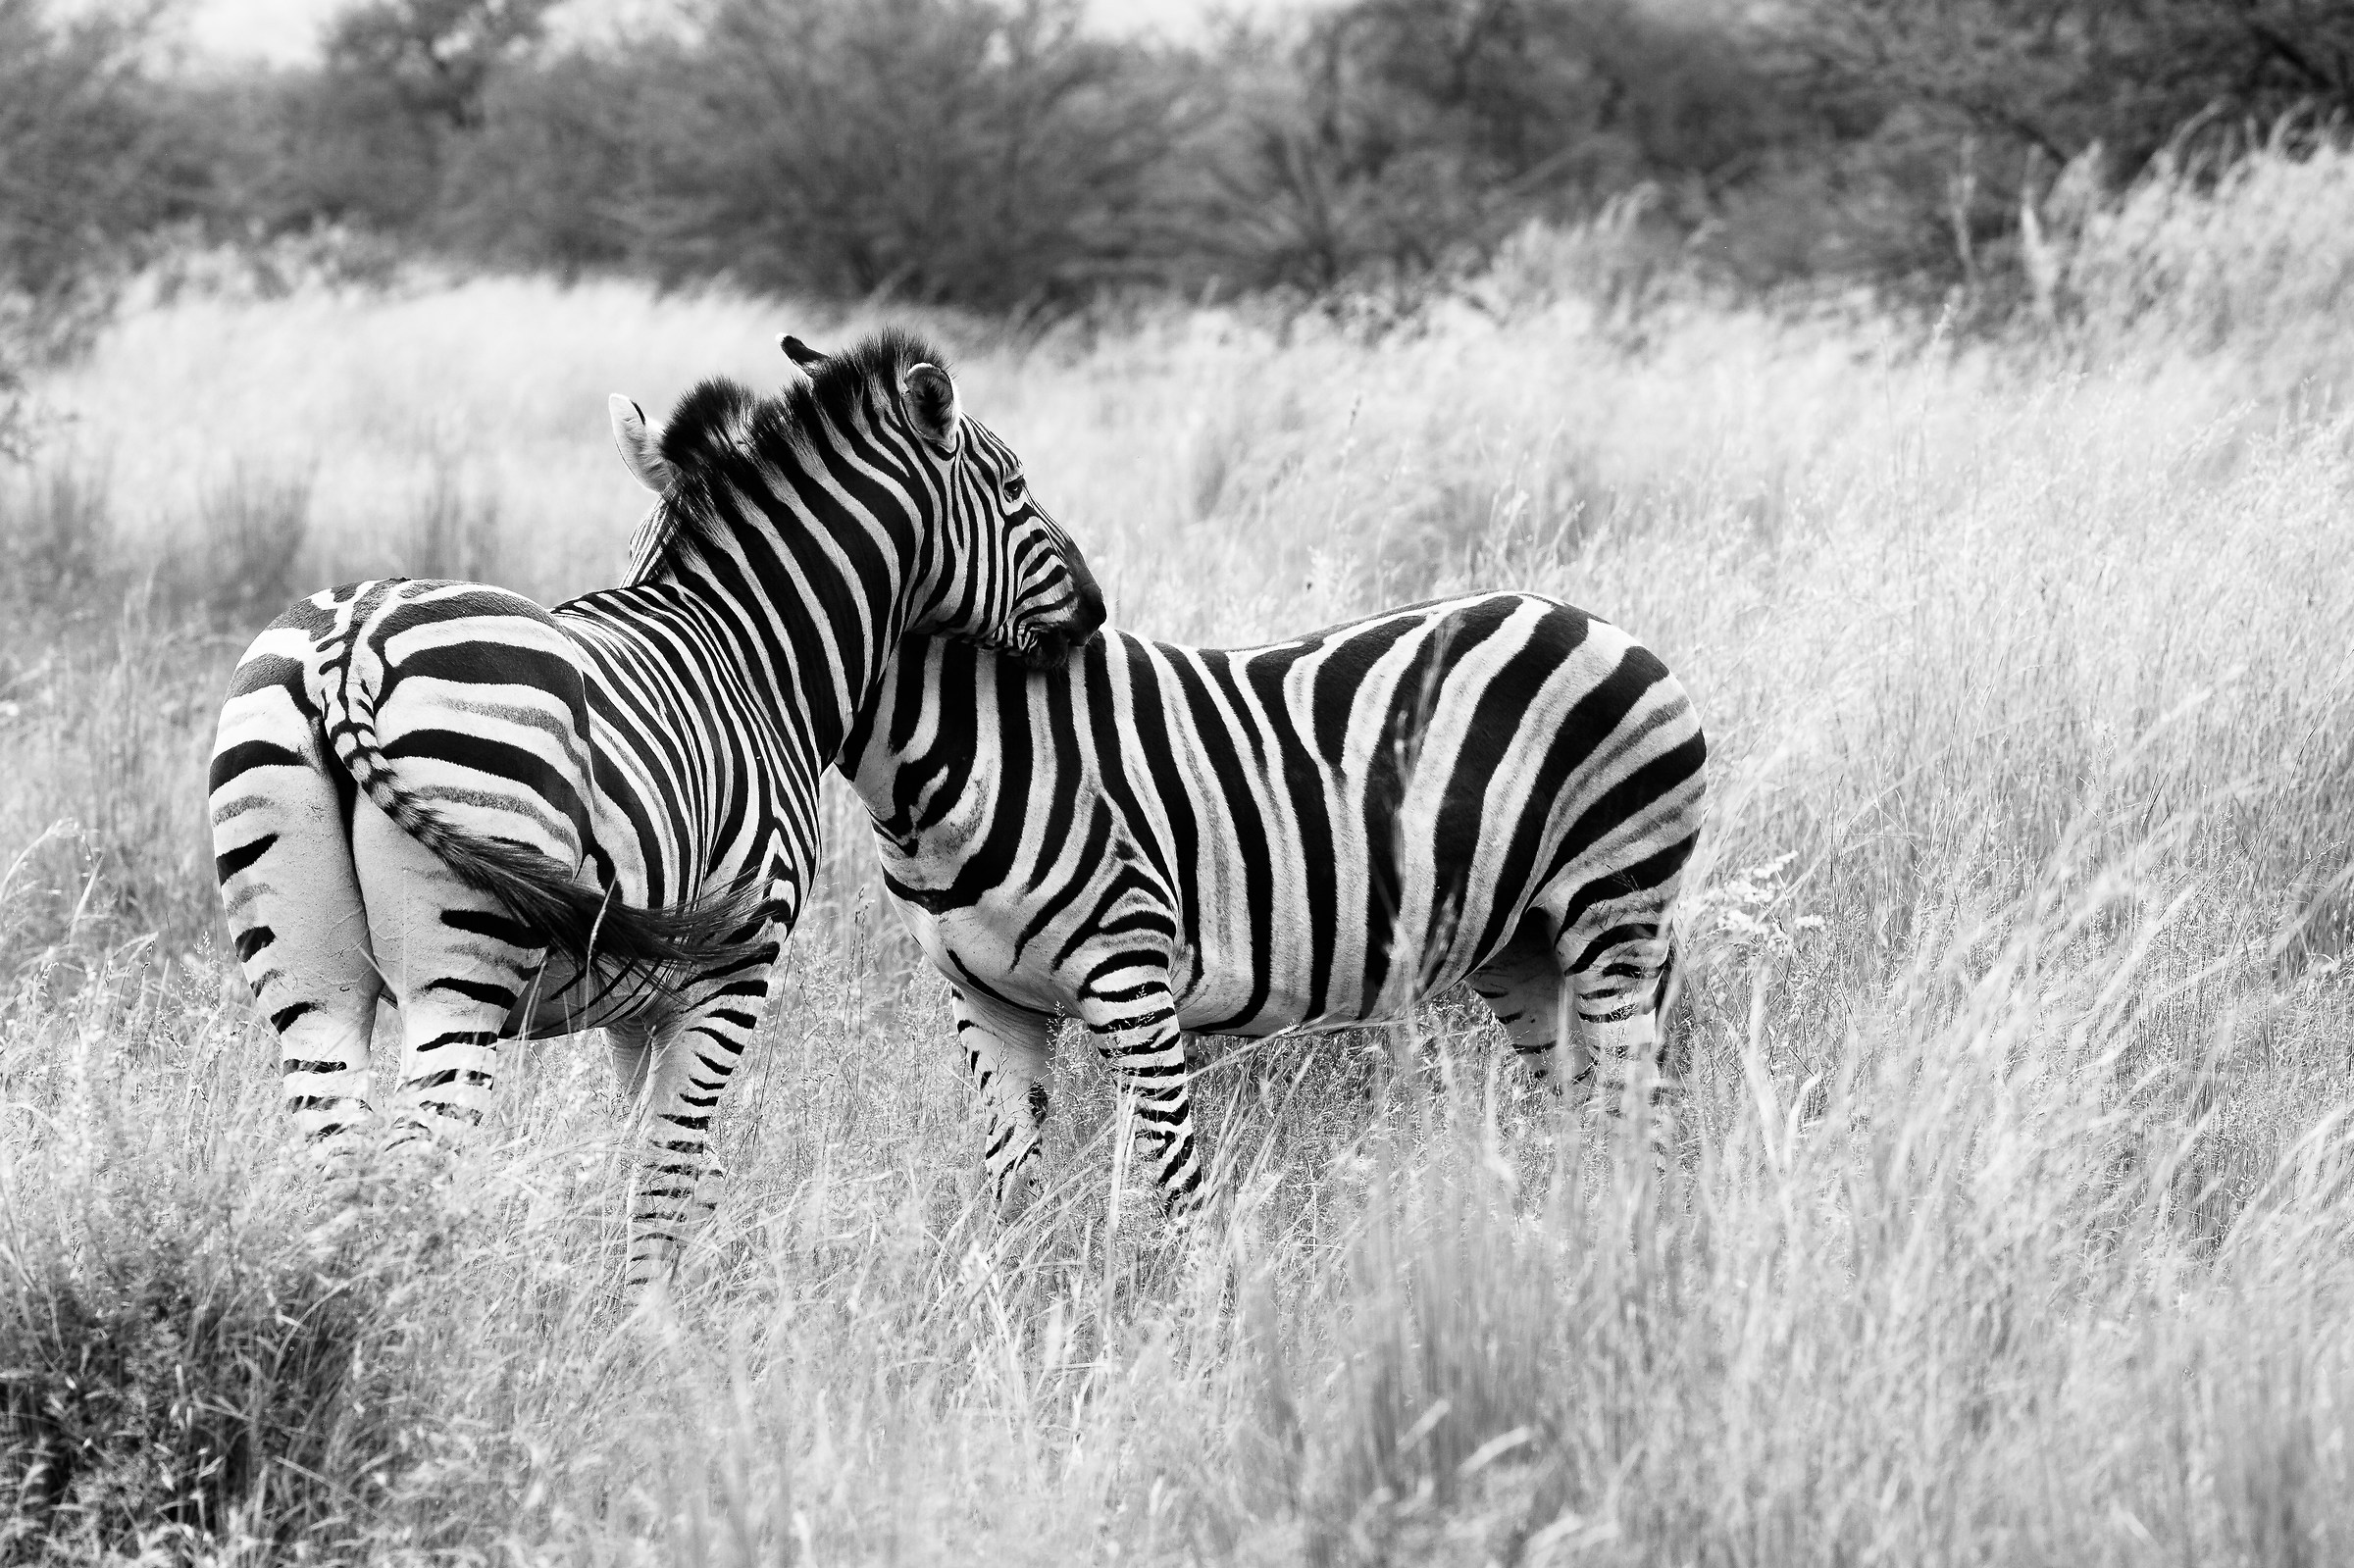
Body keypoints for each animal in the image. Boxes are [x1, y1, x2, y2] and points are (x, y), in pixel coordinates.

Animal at [208, 329, 1105, 1282]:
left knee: (335, 1154)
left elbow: (670, 1165)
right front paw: (651, 1309)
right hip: (459, 976)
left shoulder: (638, 1008)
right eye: (1014, 487)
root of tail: (347, 643)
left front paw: (655, 1303)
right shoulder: (734, 968)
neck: (756, 655)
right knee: (416, 1157)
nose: (1095, 609)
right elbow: (671, 1168)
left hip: (309, 978)